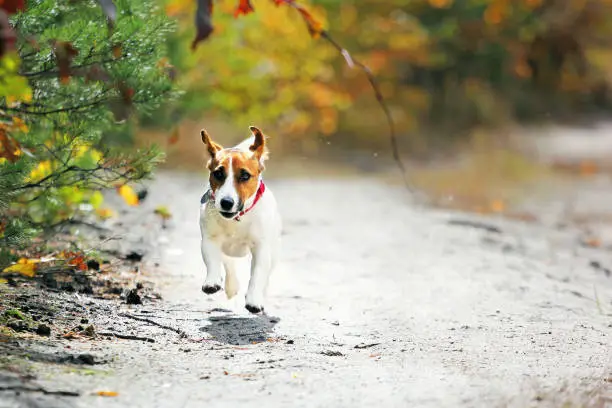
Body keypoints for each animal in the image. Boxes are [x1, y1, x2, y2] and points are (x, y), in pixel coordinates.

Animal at [198, 125, 282, 312]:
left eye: (245, 176)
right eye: (218, 174)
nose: (226, 202)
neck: (237, 219)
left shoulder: (261, 247)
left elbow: (258, 274)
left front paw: (253, 300)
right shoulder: (210, 239)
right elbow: (213, 261)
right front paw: (212, 282)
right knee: (229, 264)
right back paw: (231, 286)